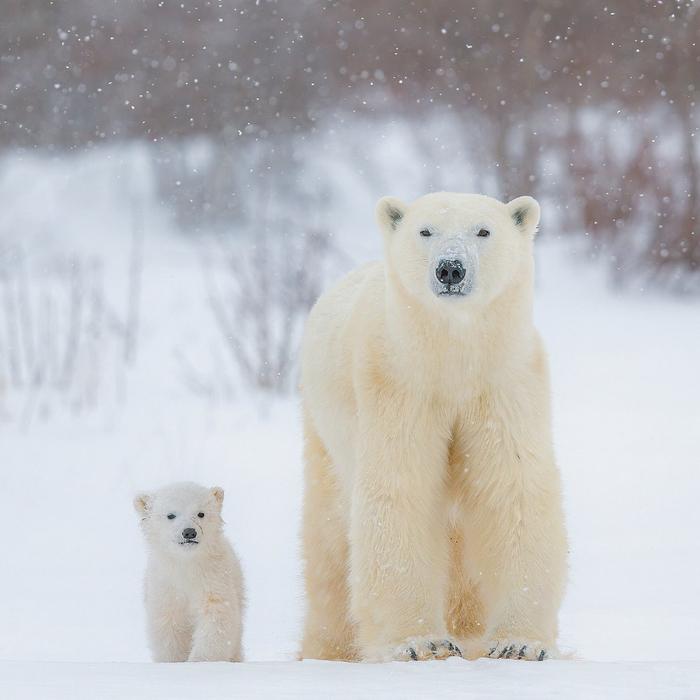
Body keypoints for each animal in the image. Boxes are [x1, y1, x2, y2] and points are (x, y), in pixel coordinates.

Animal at [134, 482, 246, 660]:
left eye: (201, 513)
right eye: (170, 515)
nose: (189, 532)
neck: (186, 564)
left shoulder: (214, 579)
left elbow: (216, 618)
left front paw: (198, 660)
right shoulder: (165, 587)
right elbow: (169, 627)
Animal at [298, 193, 568, 660]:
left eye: (483, 230)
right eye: (425, 231)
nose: (450, 269)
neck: (451, 356)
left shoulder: (504, 381)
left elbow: (512, 489)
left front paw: (520, 644)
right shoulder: (398, 383)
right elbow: (400, 490)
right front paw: (420, 644)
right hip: (323, 431)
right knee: (329, 542)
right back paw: (327, 650)